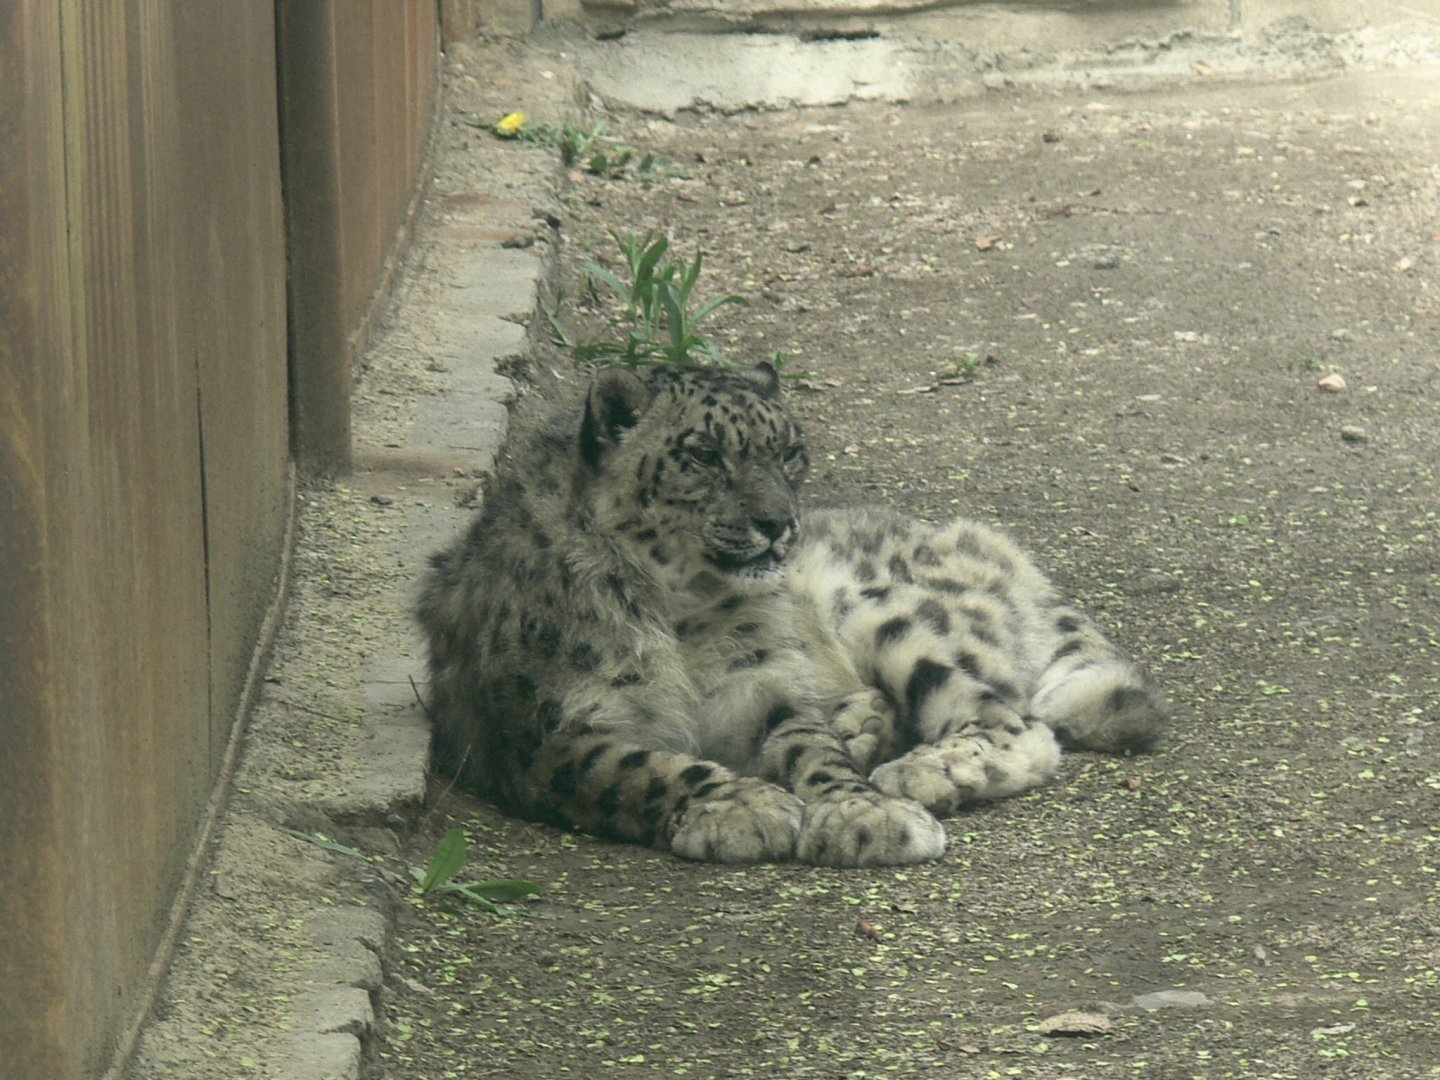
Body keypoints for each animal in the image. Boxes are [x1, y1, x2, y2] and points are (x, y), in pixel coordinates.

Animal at [416, 361, 1168, 867]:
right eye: (703, 454)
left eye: (791, 451)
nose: (778, 522)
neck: (679, 607)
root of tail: (994, 544)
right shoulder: (550, 727)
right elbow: (638, 768)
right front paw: (743, 805)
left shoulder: (761, 684)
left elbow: (811, 747)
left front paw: (862, 814)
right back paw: (869, 729)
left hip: (882, 613)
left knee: (1013, 721)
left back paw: (917, 772)